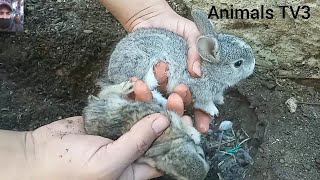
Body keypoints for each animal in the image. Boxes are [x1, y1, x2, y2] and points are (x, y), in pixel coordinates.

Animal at [101, 9, 256, 119]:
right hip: (138, 62)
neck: (209, 72)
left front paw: (220, 100)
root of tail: (111, 73)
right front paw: (214, 111)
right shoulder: (198, 91)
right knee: (146, 85)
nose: (253, 64)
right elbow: (204, 103)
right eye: (238, 63)